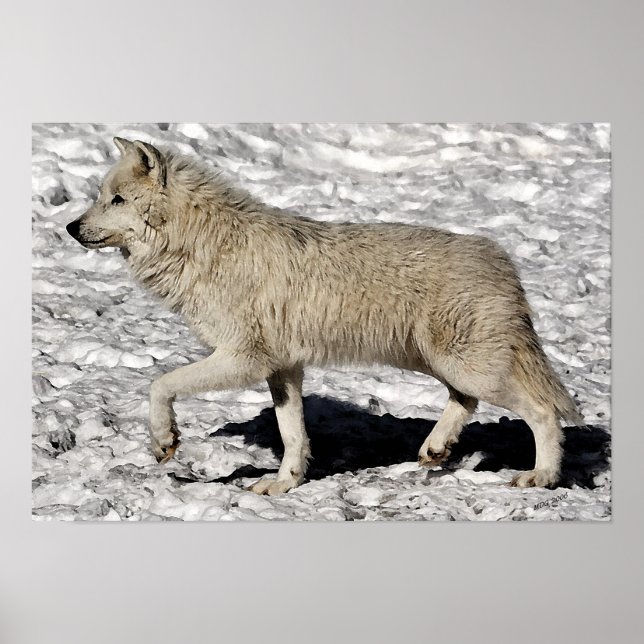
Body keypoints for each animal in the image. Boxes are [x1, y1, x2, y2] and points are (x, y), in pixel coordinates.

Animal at [66, 136, 583, 495]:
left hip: (467, 366)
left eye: (116, 200)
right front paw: (284, 483)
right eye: (101, 195)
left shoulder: (242, 359)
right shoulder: (283, 369)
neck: (204, 244)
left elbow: (159, 385)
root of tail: (501, 260)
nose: (70, 227)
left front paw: (164, 441)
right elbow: (293, 435)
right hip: (437, 362)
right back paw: (436, 449)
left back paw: (541, 476)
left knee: (542, 412)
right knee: (466, 401)